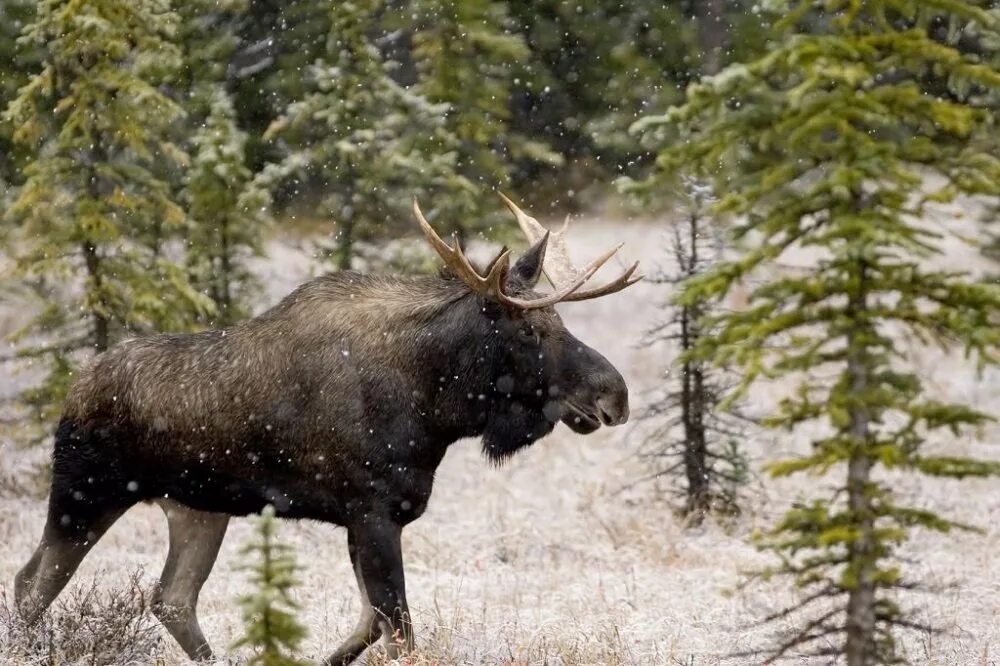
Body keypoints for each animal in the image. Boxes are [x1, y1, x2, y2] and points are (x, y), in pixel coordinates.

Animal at [13, 195, 640, 660]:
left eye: (560, 319)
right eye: (530, 329)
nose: (615, 395)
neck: (434, 407)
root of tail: (73, 389)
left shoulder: (369, 518)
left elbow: (371, 626)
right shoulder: (372, 511)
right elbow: (400, 632)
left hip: (197, 509)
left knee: (171, 598)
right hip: (84, 495)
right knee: (31, 585)